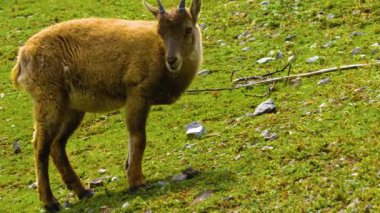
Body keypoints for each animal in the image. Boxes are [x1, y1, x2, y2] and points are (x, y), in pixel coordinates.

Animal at [11, 0, 202, 210]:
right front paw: (136, 181)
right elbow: (138, 137)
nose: (172, 60)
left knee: (57, 144)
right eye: (160, 32)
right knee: (40, 145)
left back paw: (83, 191)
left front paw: (130, 170)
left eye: (187, 29)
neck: (158, 53)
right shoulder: (137, 93)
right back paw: (50, 201)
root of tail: (23, 56)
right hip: (48, 98)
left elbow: (133, 139)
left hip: (71, 107)